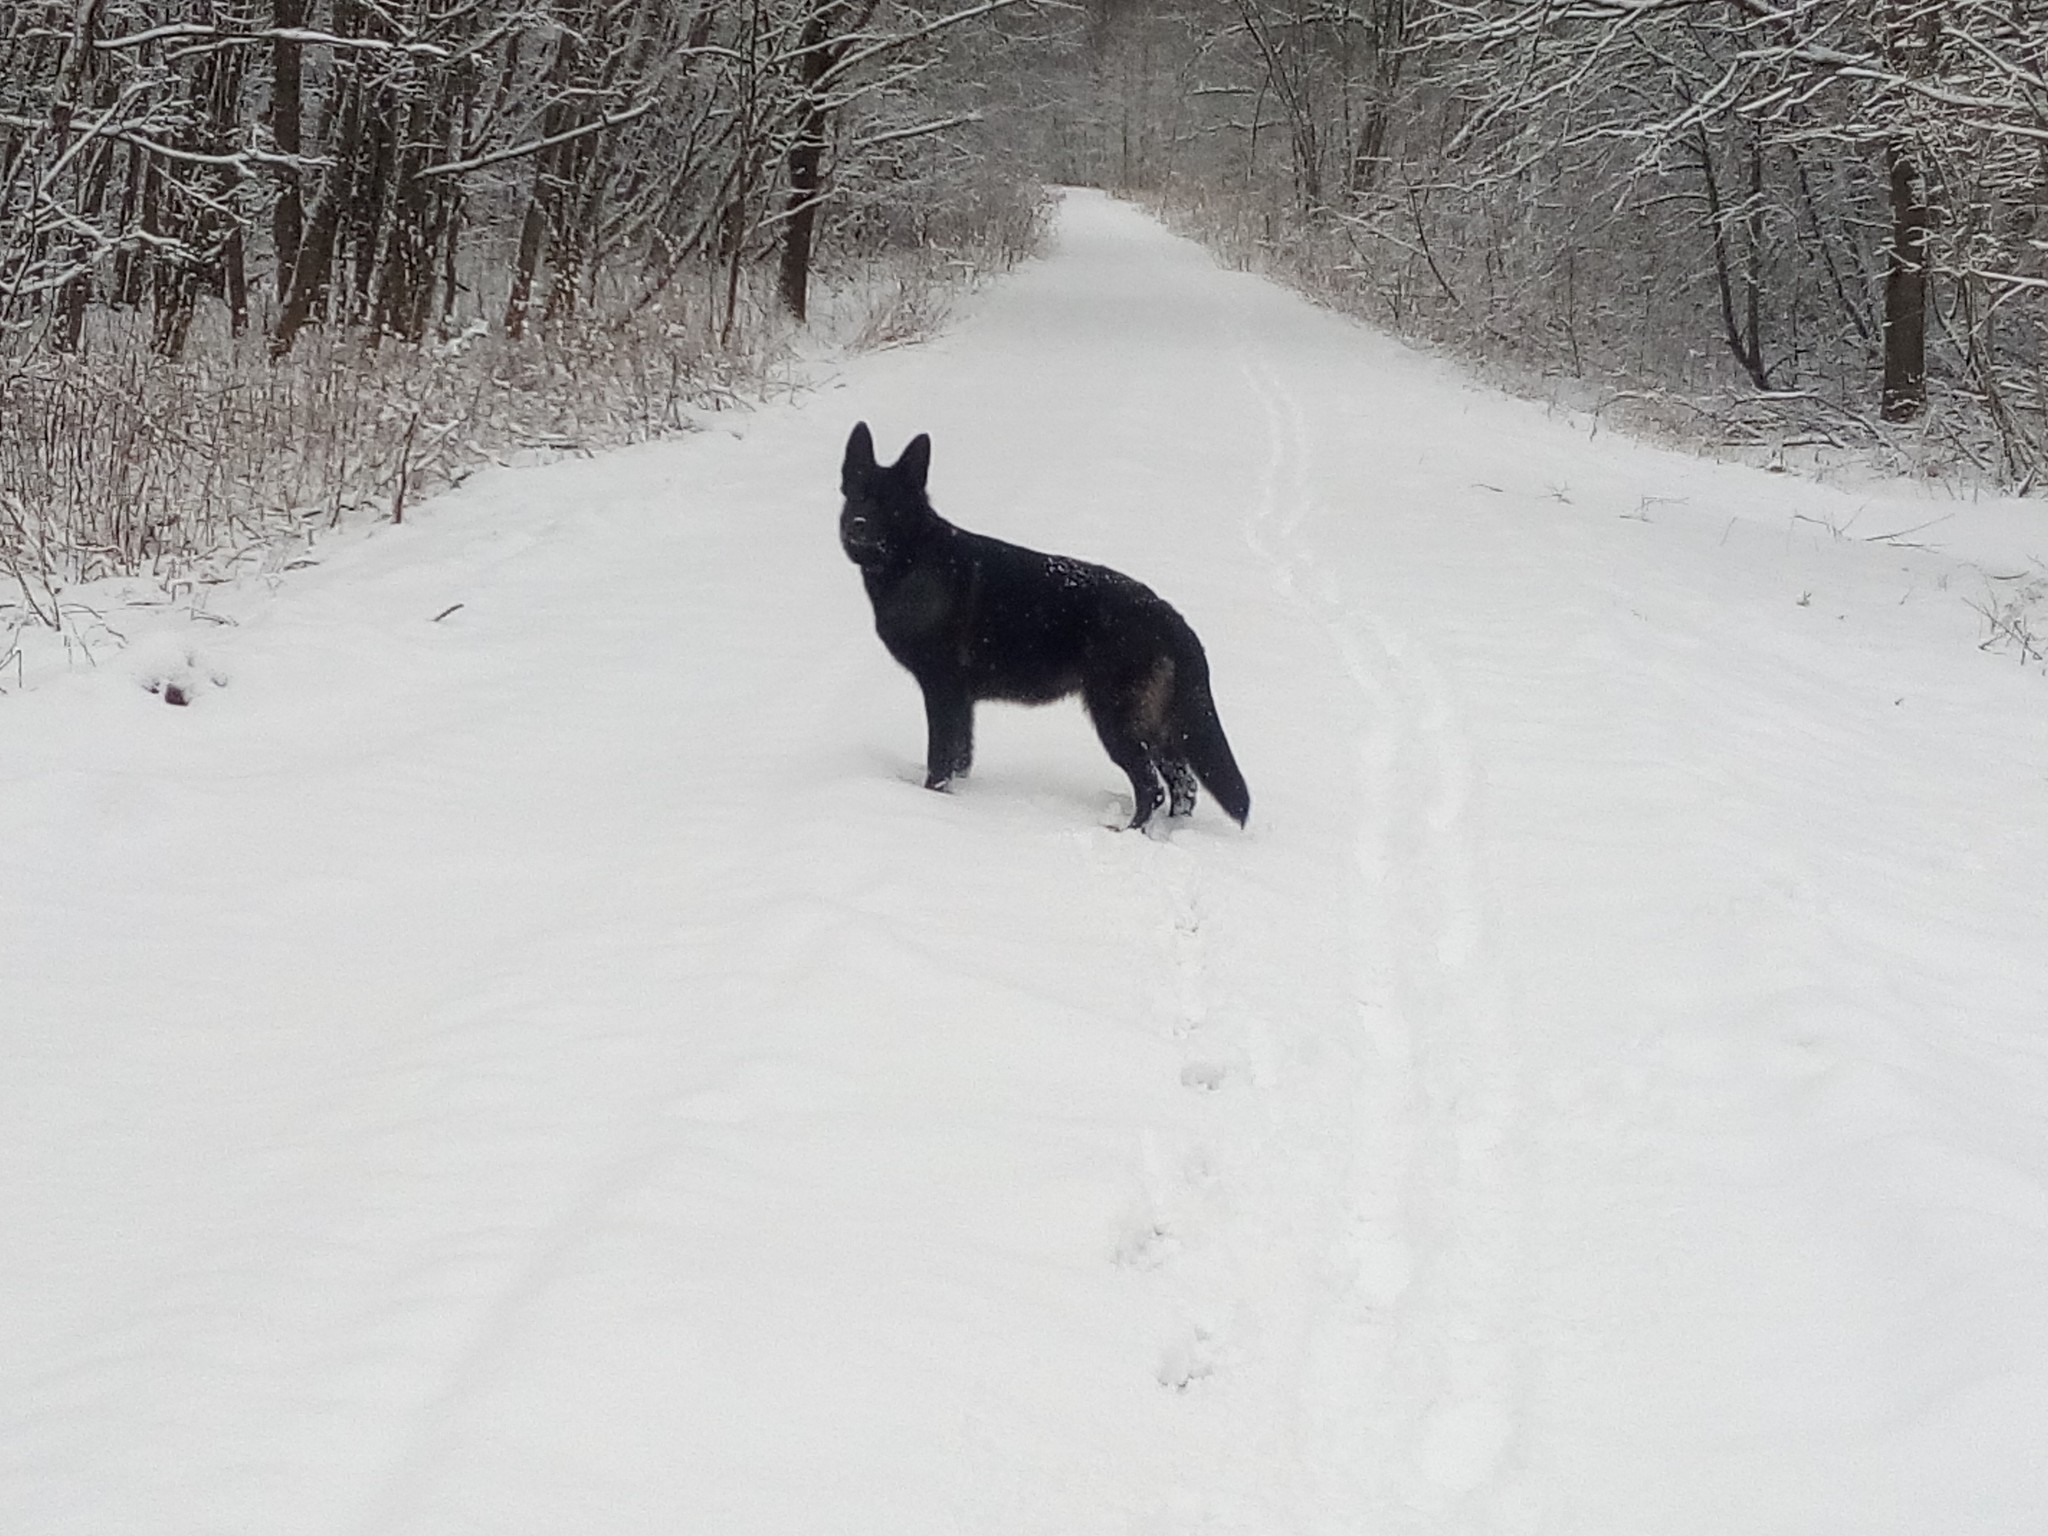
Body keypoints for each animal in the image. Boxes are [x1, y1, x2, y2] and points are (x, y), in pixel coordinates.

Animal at [835, 417, 1245, 831]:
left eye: (889, 503)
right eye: (857, 495)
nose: (857, 525)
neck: (912, 557)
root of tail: (1170, 616)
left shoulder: (941, 689)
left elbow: (940, 760)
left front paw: (931, 800)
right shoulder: (962, 701)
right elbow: (961, 758)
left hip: (1117, 721)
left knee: (1152, 786)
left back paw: (1127, 831)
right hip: (1157, 725)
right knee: (1183, 784)